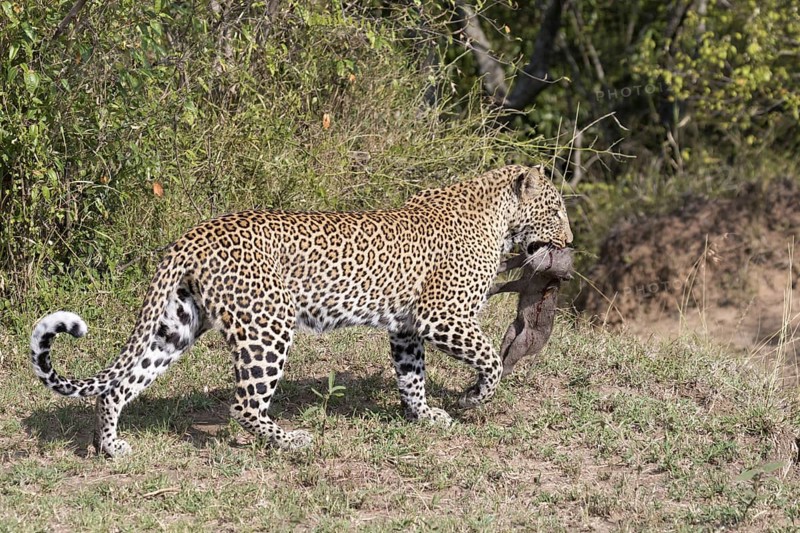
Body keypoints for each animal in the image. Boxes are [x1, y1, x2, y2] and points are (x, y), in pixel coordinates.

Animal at [30, 164, 573, 458]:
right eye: (556, 209)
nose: (569, 241)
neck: (498, 219)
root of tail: (194, 234)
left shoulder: (405, 327)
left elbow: (412, 376)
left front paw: (425, 416)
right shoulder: (443, 316)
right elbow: (492, 359)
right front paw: (473, 398)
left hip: (177, 325)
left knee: (118, 385)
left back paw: (112, 448)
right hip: (267, 326)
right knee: (243, 405)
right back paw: (290, 441)